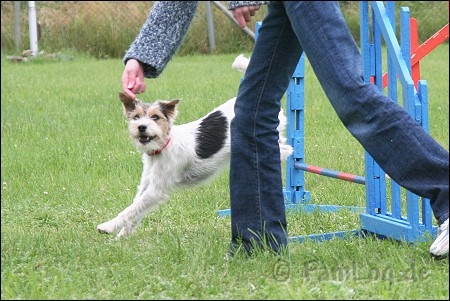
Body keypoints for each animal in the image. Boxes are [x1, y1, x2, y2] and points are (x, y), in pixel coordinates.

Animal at [96, 54, 294, 237]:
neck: (163, 147)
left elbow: (131, 210)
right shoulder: (146, 185)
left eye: (155, 117)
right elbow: (136, 208)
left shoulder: (156, 190)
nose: (141, 127)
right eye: (136, 117)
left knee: (286, 149)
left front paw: (108, 226)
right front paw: (123, 236)